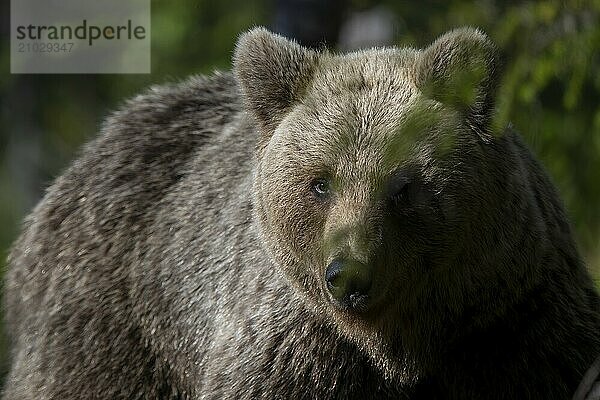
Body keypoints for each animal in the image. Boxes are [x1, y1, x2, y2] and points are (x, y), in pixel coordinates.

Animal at [1, 26, 600, 398]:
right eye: (319, 182)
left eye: (404, 186)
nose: (349, 275)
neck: (400, 346)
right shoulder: (293, 347)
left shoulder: (514, 324)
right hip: (112, 314)